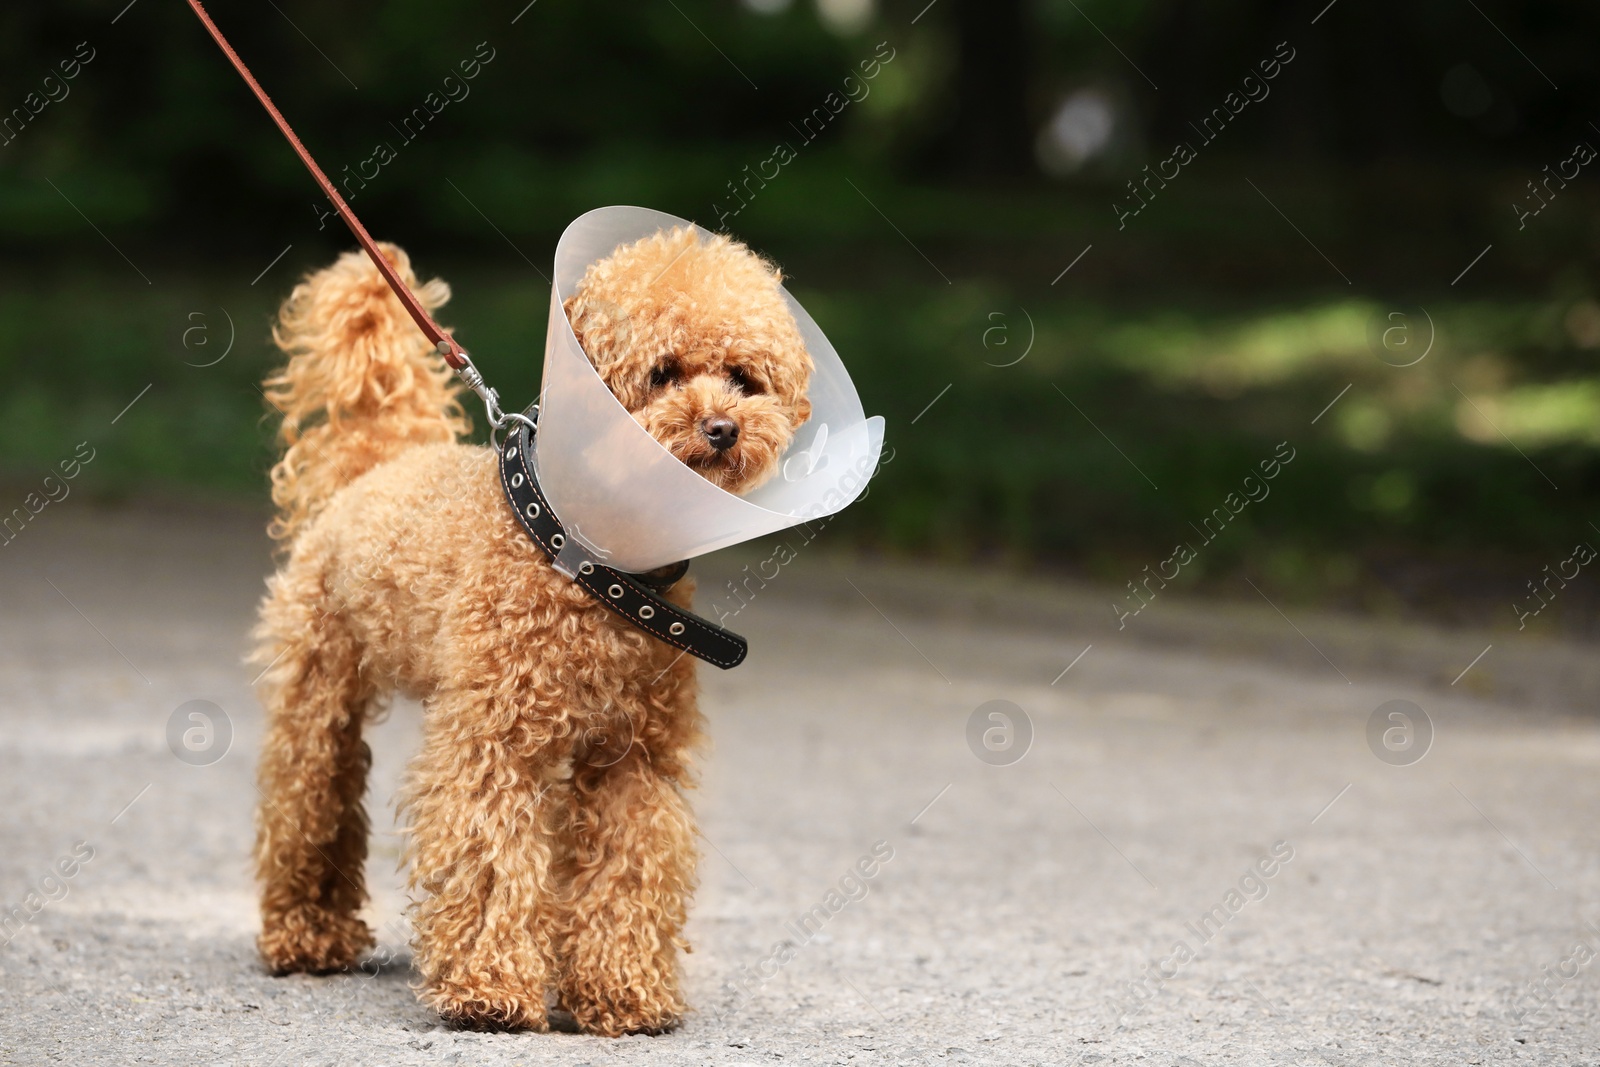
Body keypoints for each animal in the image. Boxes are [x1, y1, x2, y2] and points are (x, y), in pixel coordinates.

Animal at [256, 230, 819, 1036]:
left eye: (743, 378)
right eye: (662, 371)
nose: (723, 428)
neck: (590, 564)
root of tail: (373, 467)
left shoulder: (631, 758)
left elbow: (628, 867)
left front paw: (622, 992)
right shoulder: (495, 743)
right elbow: (492, 858)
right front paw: (488, 989)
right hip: (317, 693)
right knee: (307, 802)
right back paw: (305, 932)